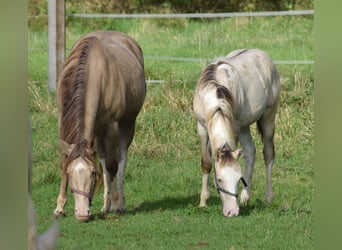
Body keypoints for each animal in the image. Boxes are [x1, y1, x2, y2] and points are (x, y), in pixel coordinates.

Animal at [53, 30, 146, 221]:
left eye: (92, 174)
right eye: (70, 174)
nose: (82, 213)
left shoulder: (112, 126)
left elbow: (112, 166)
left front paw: (116, 204)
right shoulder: (64, 122)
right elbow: (66, 160)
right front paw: (59, 207)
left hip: (127, 124)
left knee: (120, 160)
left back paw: (117, 203)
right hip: (98, 131)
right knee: (104, 159)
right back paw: (106, 205)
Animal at [194, 48, 280, 217]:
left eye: (238, 179)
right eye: (219, 180)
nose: (232, 212)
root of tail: (264, 55)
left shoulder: (233, 127)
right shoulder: (202, 127)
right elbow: (206, 163)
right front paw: (203, 201)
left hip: (268, 117)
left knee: (268, 154)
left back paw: (268, 197)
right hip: (244, 127)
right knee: (250, 151)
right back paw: (246, 197)